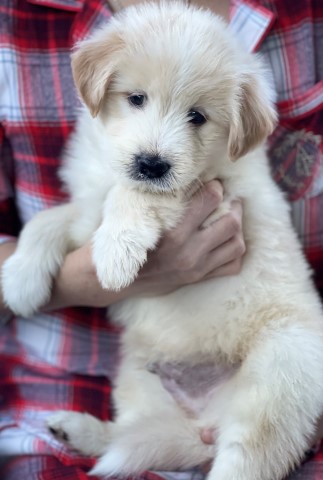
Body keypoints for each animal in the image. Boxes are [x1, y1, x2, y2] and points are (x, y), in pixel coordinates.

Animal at [1, 1, 323, 478]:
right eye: (136, 99)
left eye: (198, 116)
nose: (151, 164)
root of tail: (206, 419)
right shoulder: (86, 204)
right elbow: (50, 219)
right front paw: (21, 279)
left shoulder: (215, 195)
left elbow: (129, 194)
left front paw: (115, 253)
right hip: (137, 374)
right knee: (134, 431)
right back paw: (79, 432)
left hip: (278, 377)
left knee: (247, 456)